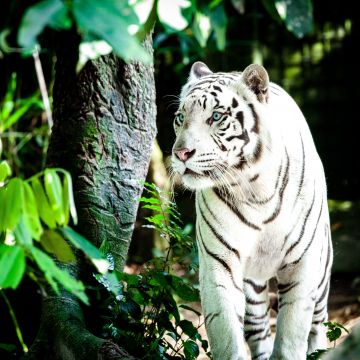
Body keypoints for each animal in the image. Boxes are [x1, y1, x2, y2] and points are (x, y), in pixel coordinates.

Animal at [171, 62, 332, 360]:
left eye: (216, 116)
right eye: (180, 117)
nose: (181, 153)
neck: (254, 189)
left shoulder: (302, 264)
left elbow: (292, 334)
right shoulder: (219, 263)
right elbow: (225, 331)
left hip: (322, 267)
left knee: (318, 323)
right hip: (253, 287)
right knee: (258, 331)